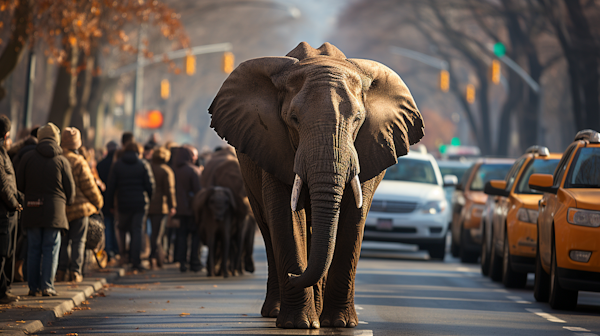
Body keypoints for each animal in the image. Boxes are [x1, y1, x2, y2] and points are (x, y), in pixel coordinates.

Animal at [209, 41, 424, 328]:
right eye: (294, 119)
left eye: (358, 119)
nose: (293, 275)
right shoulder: (273, 144)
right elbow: (285, 217)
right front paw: (297, 324)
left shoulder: (368, 148)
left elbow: (353, 218)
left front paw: (341, 324)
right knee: (267, 228)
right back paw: (277, 311)